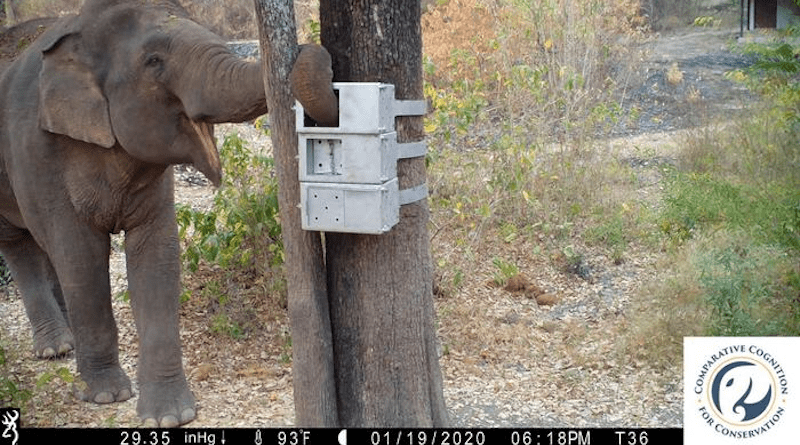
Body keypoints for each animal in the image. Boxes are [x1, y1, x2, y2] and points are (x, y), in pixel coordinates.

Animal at [0, 0, 338, 426]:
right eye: (154, 61)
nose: (310, 50)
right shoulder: (38, 153)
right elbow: (80, 256)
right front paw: (107, 395)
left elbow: (156, 254)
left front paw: (169, 417)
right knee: (21, 244)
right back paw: (55, 349)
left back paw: (67, 346)